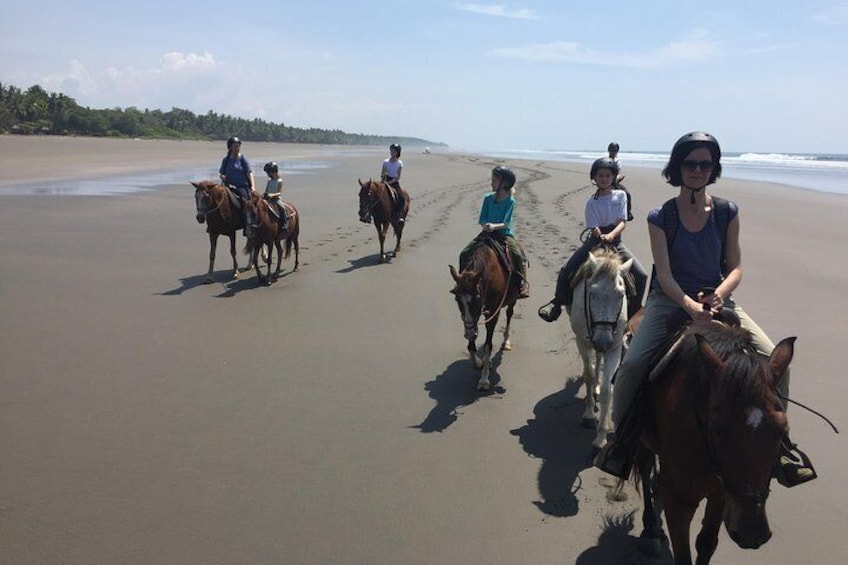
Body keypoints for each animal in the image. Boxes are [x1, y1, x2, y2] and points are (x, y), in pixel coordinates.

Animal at [450, 236, 516, 390]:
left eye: (476, 298)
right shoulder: (470, 318)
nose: (469, 333)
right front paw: (479, 363)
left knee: (510, 313)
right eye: (457, 299)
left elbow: (488, 346)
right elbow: (471, 343)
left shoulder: (492, 313)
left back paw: (506, 341)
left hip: (512, 299)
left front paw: (484, 379)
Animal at [632, 320, 800, 560]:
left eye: (782, 429)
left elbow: (706, 543)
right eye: (718, 429)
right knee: (645, 469)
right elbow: (683, 554)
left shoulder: (722, 492)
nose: (752, 533)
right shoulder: (679, 502)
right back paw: (650, 530)